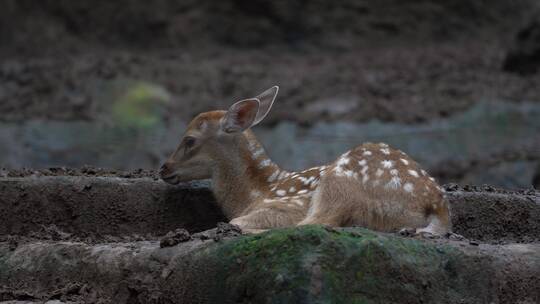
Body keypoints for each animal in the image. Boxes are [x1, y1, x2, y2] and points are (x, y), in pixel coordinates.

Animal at [159, 86, 452, 234]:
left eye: (190, 140)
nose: (164, 168)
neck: (254, 193)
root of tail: (436, 206)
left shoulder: (289, 204)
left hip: (340, 183)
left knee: (317, 222)